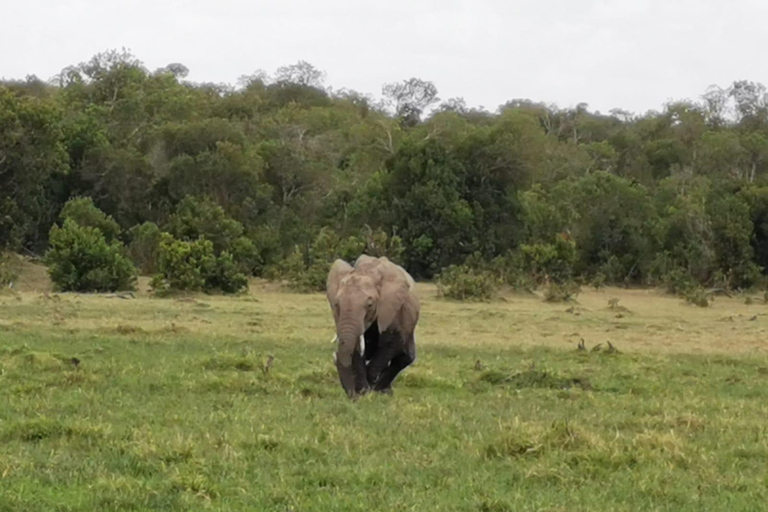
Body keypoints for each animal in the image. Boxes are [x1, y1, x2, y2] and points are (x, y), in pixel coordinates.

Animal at [324, 256, 420, 400]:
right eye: (336, 304)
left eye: (370, 305)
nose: (352, 397)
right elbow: (356, 347)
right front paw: (363, 391)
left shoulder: (394, 309)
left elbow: (391, 343)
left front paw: (369, 390)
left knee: (405, 357)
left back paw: (383, 391)